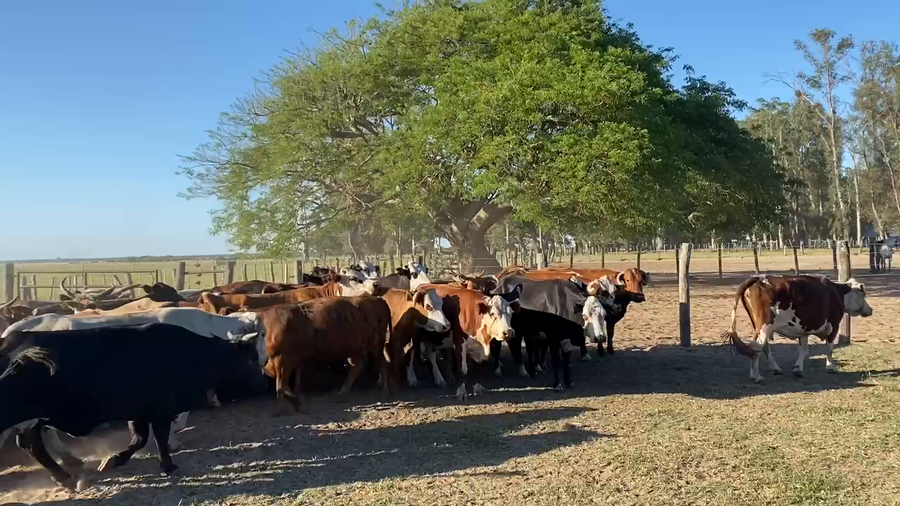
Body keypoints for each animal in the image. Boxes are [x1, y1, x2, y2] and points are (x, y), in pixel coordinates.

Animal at [0, 324, 263, 491]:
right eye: (252, 358)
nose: (264, 381)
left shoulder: (139, 413)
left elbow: (139, 439)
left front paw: (113, 461)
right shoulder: (159, 411)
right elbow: (158, 438)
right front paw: (168, 465)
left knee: (31, 445)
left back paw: (64, 476)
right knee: (32, 445)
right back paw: (65, 475)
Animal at [255, 296, 393, 412]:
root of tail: (378, 299)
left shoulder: (282, 360)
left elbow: (281, 385)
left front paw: (282, 408)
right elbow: (285, 384)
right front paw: (297, 402)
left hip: (375, 344)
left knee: (381, 363)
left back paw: (384, 393)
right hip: (355, 348)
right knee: (357, 366)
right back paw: (342, 394)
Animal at [722, 275, 873, 383]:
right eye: (863, 294)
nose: (870, 309)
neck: (838, 293)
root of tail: (758, 278)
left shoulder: (803, 330)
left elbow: (804, 349)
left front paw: (798, 369)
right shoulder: (833, 325)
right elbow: (829, 349)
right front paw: (830, 367)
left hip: (759, 327)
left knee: (762, 347)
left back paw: (772, 369)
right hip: (765, 327)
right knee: (756, 347)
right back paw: (757, 376)